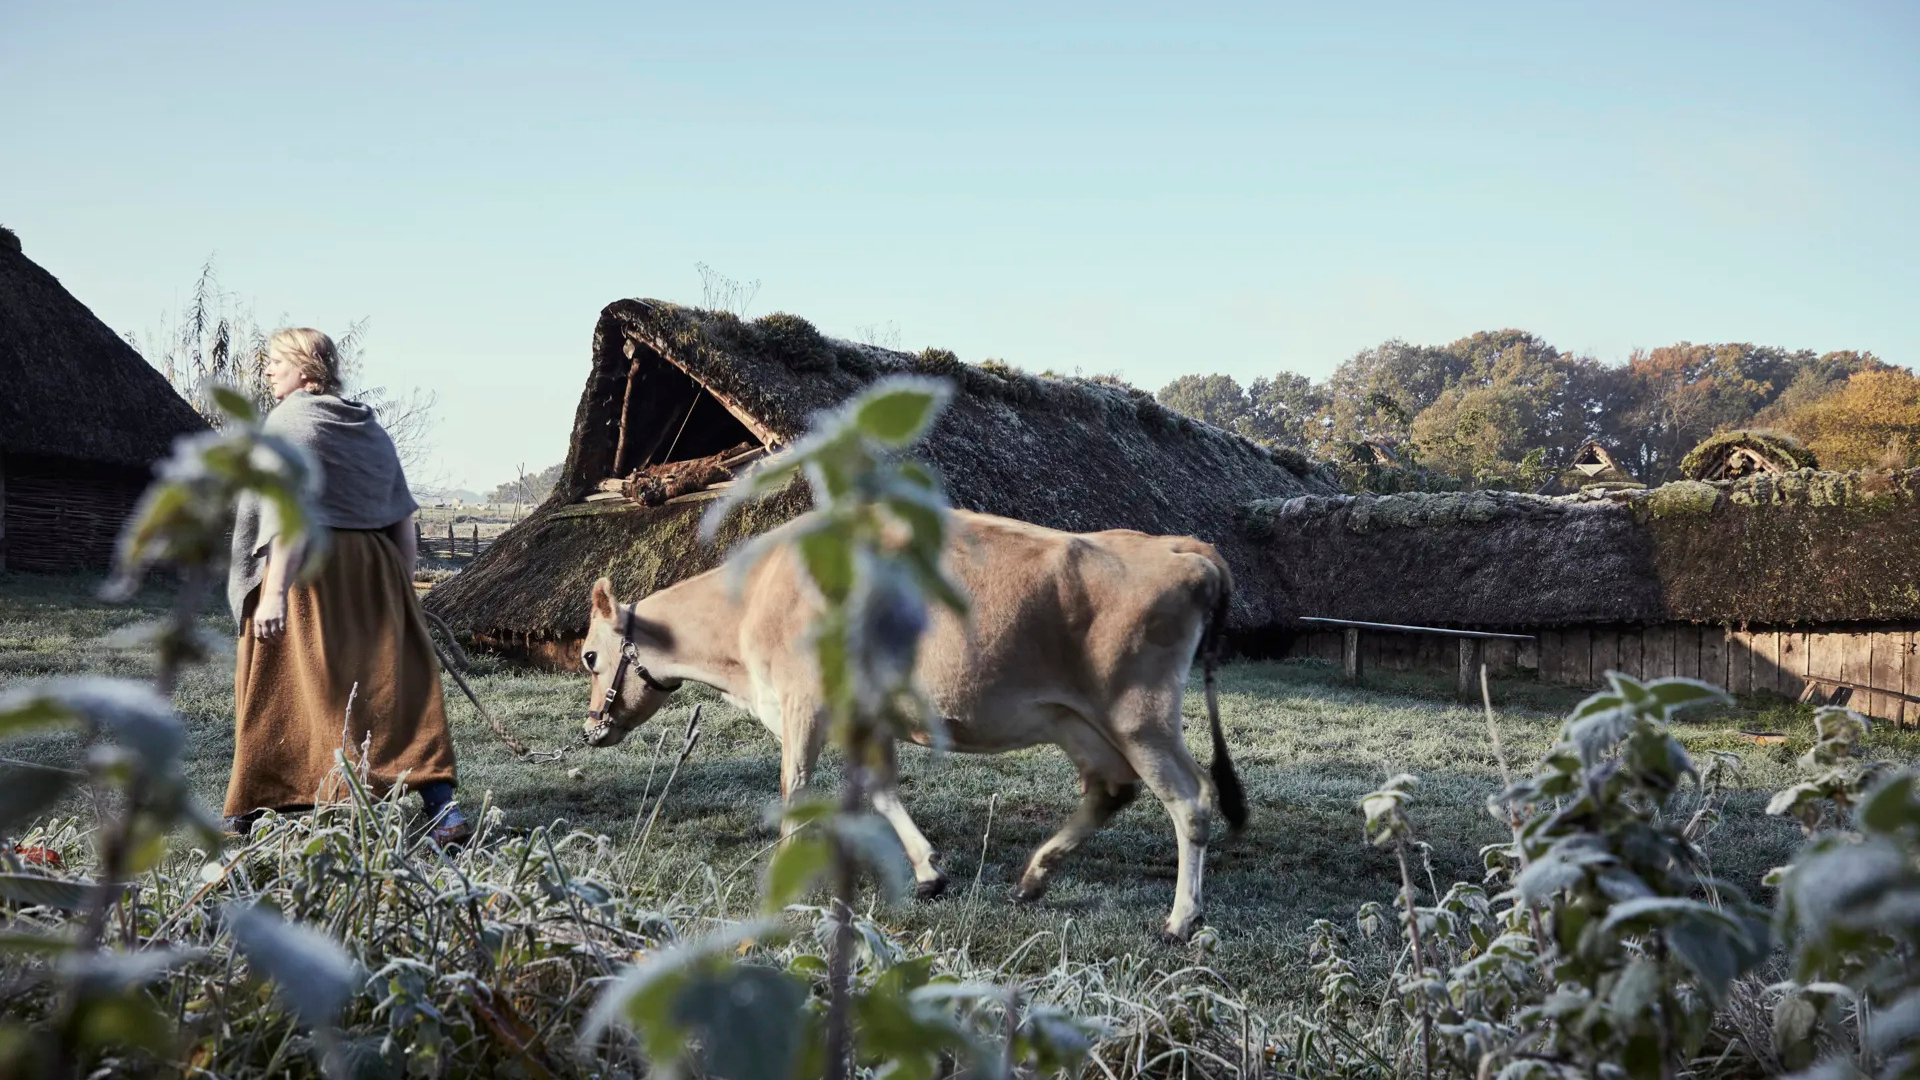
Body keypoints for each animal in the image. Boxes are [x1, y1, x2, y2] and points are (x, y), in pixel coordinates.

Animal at [577, 509, 1247, 942]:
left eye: (588, 656)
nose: (590, 730)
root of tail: (1179, 547)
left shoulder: (803, 703)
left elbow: (796, 789)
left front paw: (784, 871)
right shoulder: (868, 713)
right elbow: (881, 792)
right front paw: (928, 871)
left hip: (1140, 716)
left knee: (1190, 799)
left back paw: (1181, 919)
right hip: (1078, 721)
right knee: (1111, 789)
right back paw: (1033, 877)